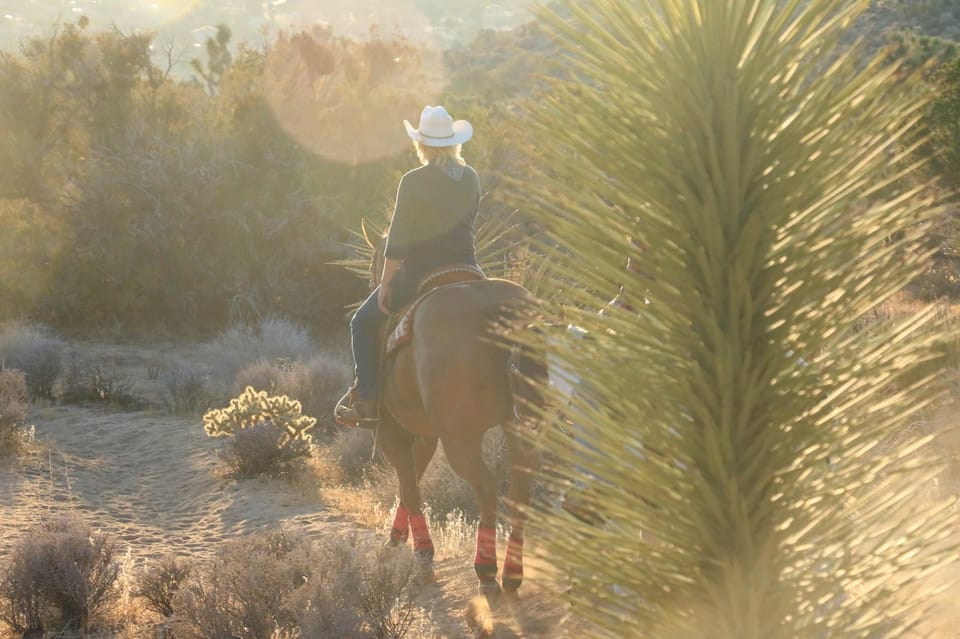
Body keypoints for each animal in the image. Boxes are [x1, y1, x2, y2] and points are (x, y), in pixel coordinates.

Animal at [362, 230, 544, 600]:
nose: (376, 285)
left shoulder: (391, 431)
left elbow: (409, 483)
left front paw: (421, 553)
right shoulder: (425, 433)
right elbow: (411, 481)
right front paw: (399, 539)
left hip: (461, 437)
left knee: (487, 485)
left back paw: (486, 571)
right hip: (519, 426)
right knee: (520, 488)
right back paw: (512, 573)